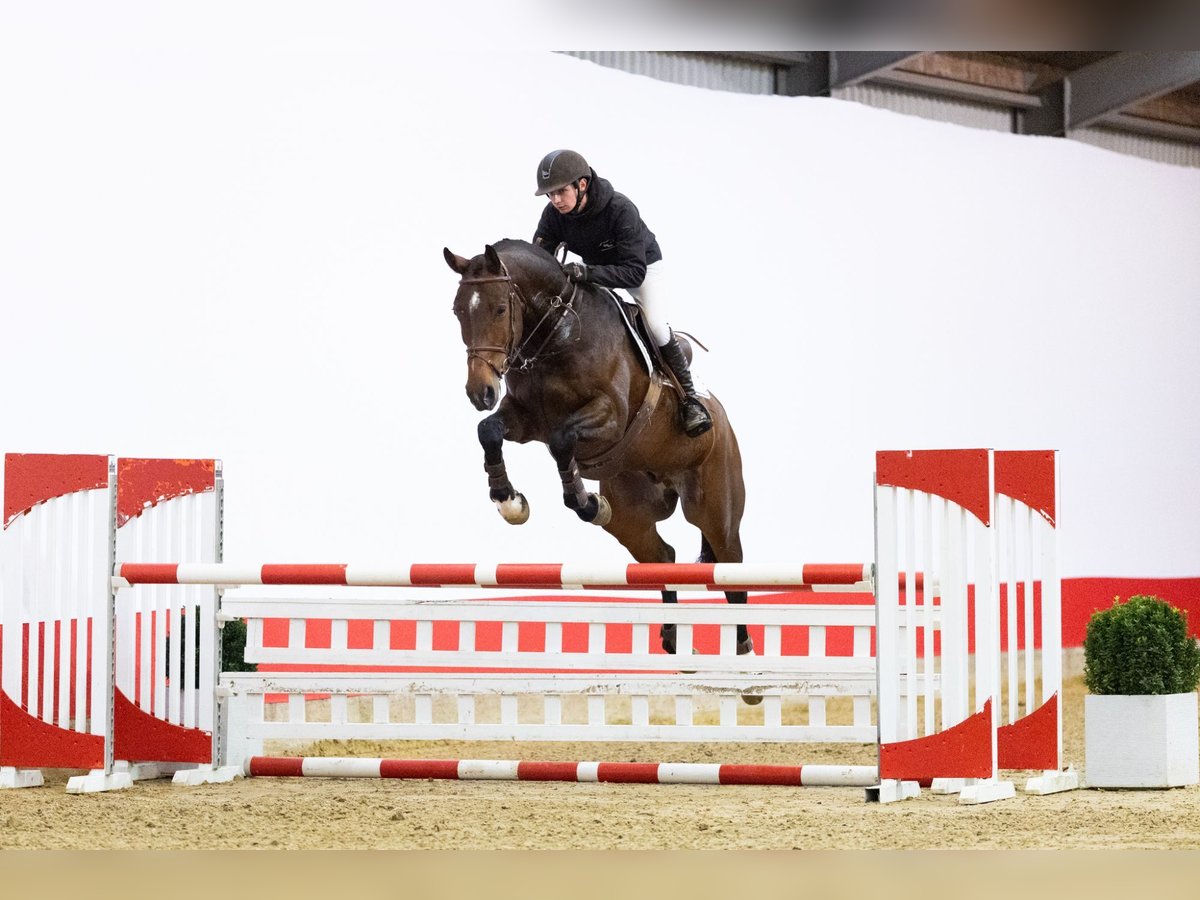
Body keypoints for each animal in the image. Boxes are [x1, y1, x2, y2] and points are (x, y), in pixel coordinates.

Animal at [443, 239, 753, 664]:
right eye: (458, 310)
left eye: (500, 309)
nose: (481, 393)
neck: (556, 336)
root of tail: (721, 420)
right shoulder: (524, 419)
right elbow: (488, 430)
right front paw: (509, 500)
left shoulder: (609, 416)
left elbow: (563, 442)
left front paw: (584, 500)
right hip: (632, 517)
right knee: (663, 557)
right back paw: (673, 638)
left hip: (715, 508)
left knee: (731, 570)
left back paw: (744, 654)